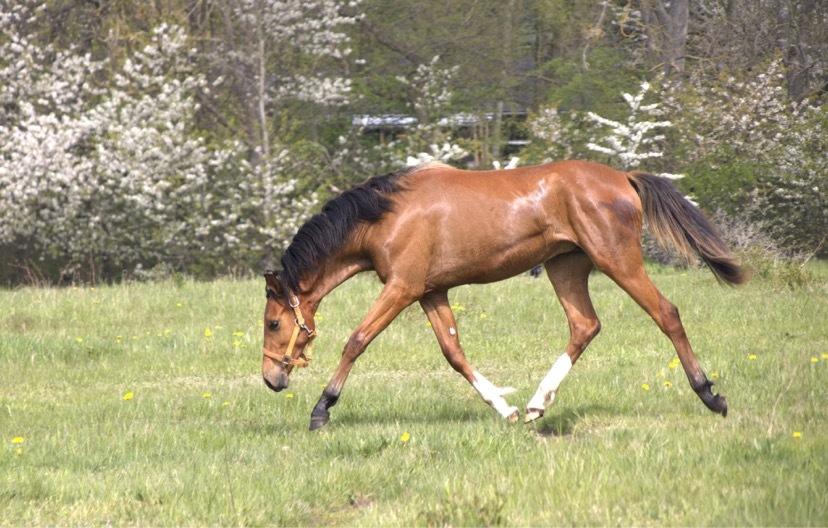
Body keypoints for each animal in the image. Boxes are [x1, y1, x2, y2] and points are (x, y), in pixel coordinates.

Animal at [258, 160, 744, 428]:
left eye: (273, 321)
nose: (271, 379)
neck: (384, 215)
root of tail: (623, 178)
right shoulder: (432, 292)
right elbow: (454, 355)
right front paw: (504, 408)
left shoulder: (401, 288)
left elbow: (356, 341)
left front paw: (322, 410)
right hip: (566, 267)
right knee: (585, 326)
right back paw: (535, 405)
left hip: (617, 262)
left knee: (667, 313)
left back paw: (710, 395)